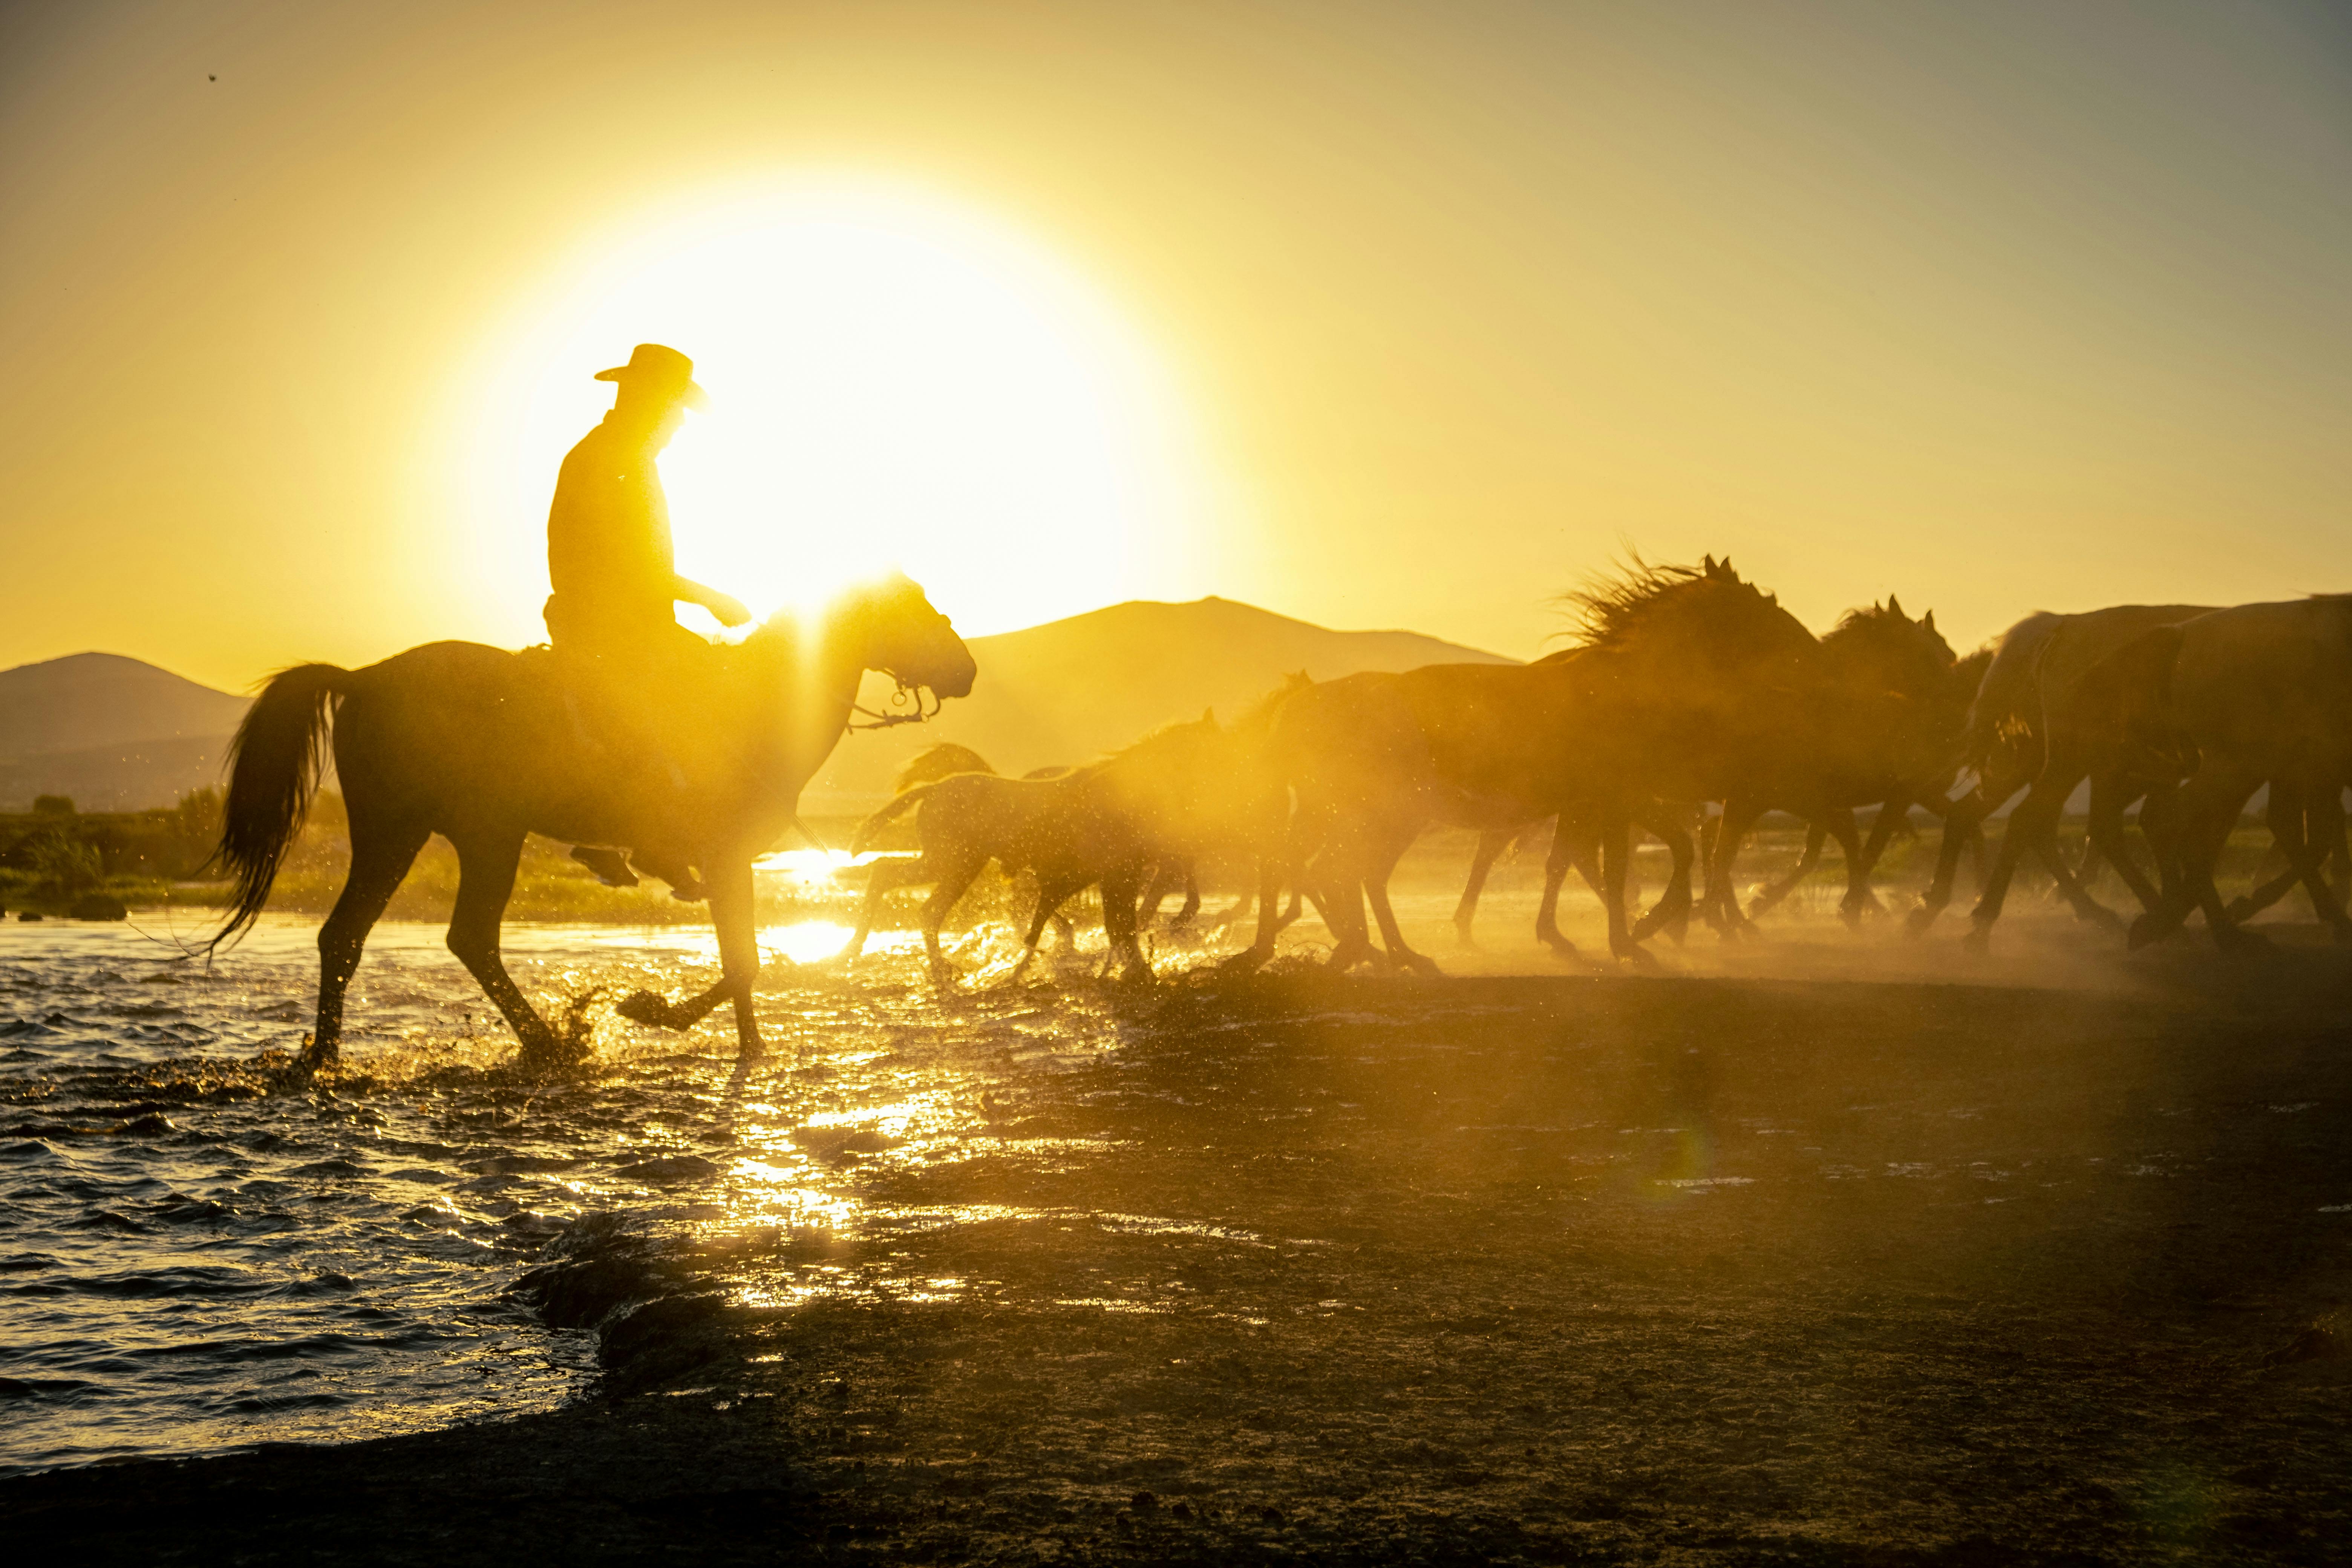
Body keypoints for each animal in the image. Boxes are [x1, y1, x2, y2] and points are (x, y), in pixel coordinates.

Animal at [204, 576, 974, 1081]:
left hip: (399, 836)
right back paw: (550, 1045)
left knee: (348, 937)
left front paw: (744, 1047)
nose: (965, 671)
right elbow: (744, 964)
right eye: (913, 608)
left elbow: (741, 966)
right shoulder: (726, 857)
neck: (757, 698)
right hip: (481, 835)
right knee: (467, 937)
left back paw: (325, 1060)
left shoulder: (729, 862)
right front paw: (652, 1010)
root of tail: (362, 678)